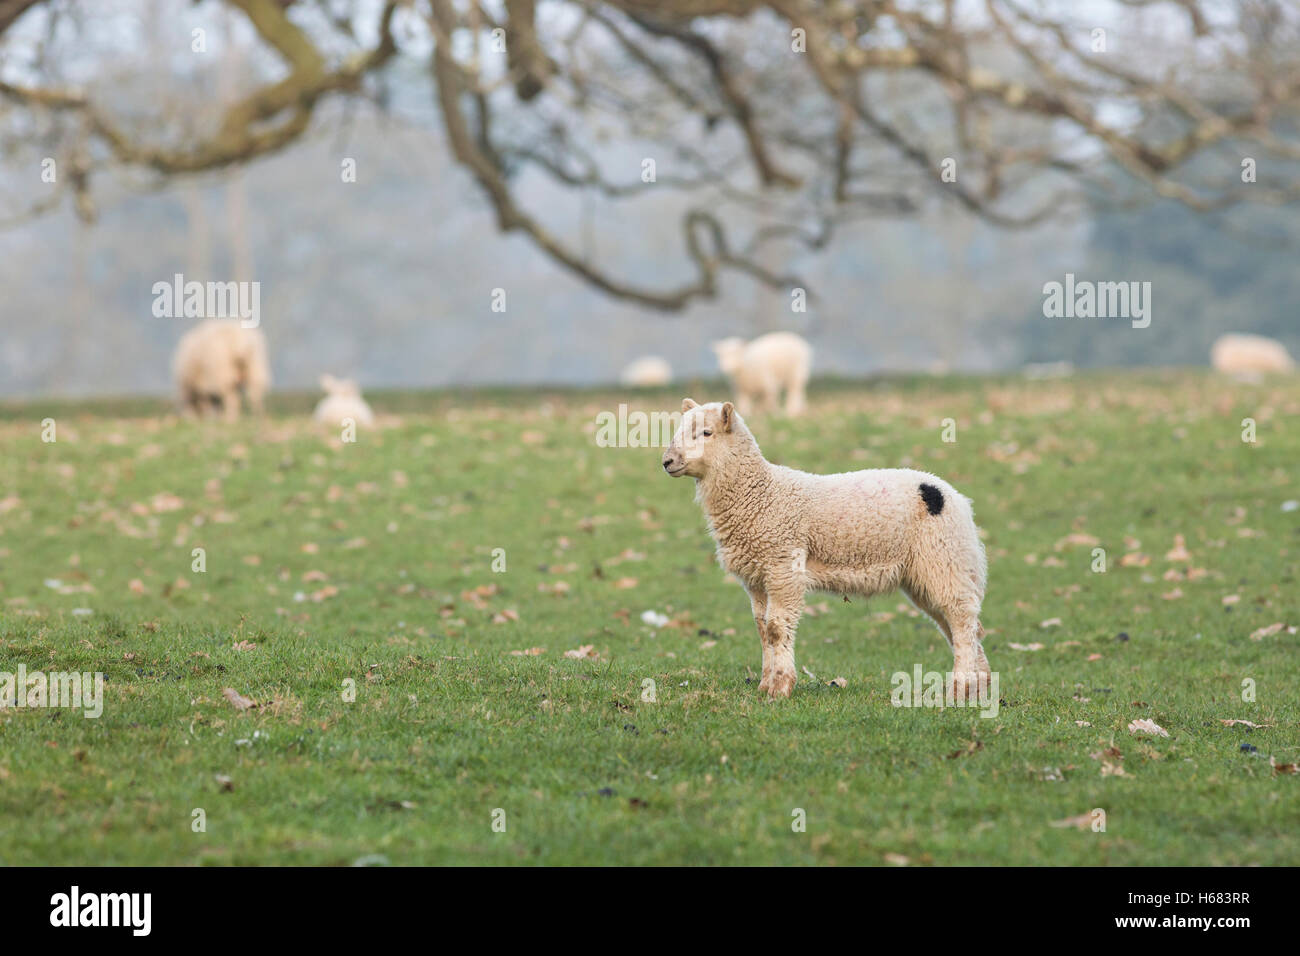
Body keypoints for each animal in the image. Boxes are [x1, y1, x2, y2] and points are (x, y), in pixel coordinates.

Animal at [665, 398, 987, 702]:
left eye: (706, 432)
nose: (667, 461)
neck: (759, 493)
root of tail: (955, 497)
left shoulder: (784, 566)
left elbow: (777, 628)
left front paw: (780, 688)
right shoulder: (756, 576)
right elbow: (762, 629)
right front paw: (765, 685)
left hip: (946, 558)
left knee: (962, 623)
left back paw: (960, 688)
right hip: (931, 572)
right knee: (958, 626)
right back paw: (978, 687)